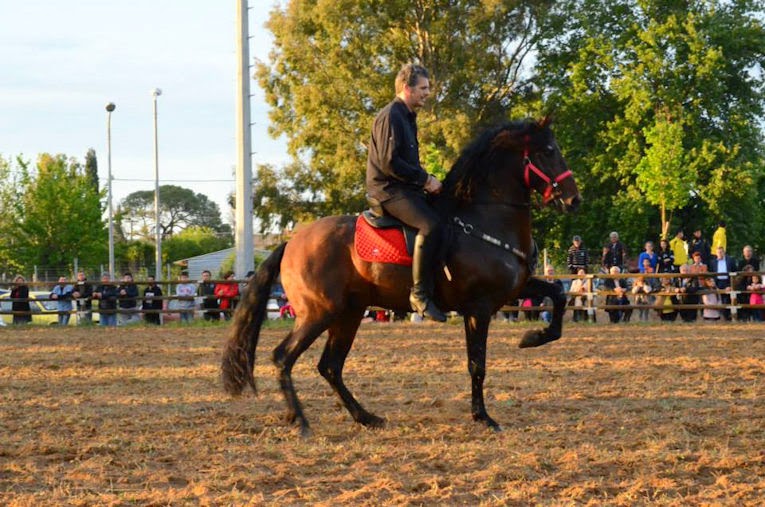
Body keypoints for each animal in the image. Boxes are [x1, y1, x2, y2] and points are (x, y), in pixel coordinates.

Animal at [221, 117, 580, 434]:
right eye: (549, 150)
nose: (574, 200)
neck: (484, 219)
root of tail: (292, 242)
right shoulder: (479, 308)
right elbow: (477, 364)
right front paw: (484, 417)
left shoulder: (514, 291)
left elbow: (558, 295)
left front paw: (533, 337)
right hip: (319, 313)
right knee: (285, 358)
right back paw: (301, 421)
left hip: (348, 314)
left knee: (330, 366)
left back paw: (365, 417)